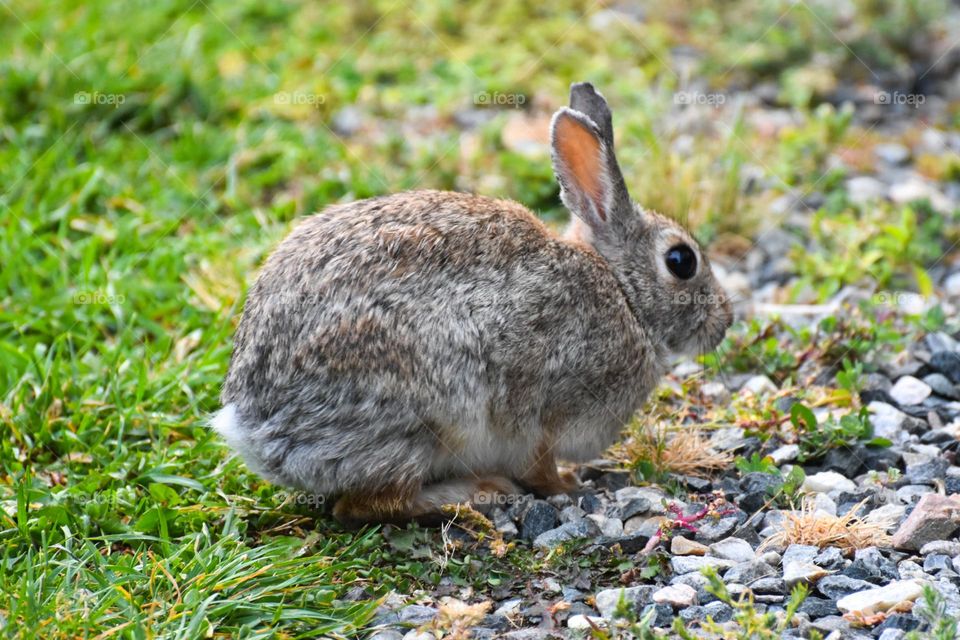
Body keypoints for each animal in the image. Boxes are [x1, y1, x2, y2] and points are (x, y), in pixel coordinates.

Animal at [213, 82, 733, 525]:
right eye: (681, 261)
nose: (725, 322)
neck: (624, 295)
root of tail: (251, 424)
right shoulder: (544, 407)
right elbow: (540, 464)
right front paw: (569, 486)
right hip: (426, 414)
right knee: (367, 505)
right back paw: (475, 492)